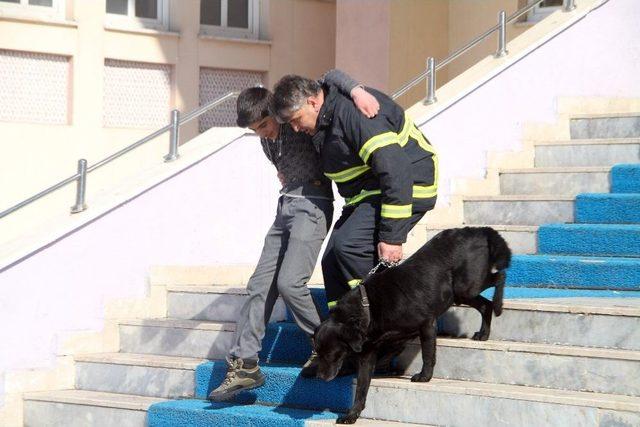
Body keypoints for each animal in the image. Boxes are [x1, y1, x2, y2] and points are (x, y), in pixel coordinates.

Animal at [314, 227, 510, 424]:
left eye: (330, 354)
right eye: (317, 353)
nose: (320, 377)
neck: (367, 307)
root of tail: (479, 230)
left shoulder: (427, 324)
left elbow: (427, 354)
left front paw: (424, 376)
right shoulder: (371, 352)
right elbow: (362, 386)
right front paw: (353, 414)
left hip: (466, 286)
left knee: (500, 276)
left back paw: (499, 305)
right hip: (461, 294)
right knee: (485, 305)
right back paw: (484, 333)